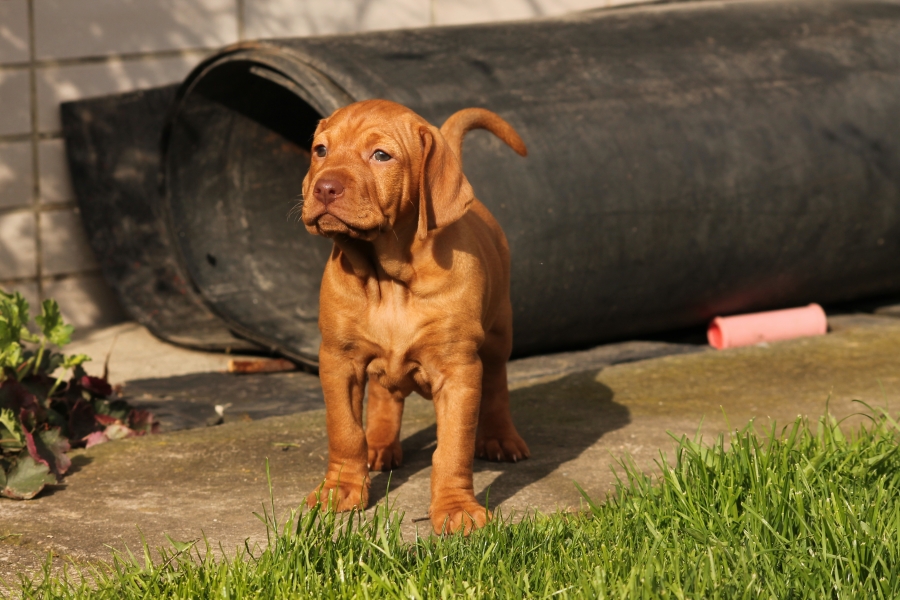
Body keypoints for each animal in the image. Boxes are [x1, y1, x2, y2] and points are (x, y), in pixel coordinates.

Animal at [300, 99, 529, 534]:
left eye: (381, 156)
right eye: (320, 150)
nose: (324, 187)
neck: (388, 279)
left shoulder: (458, 371)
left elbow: (453, 447)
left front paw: (456, 509)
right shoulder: (338, 359)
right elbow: (345, 430)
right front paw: (340, 489)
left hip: (498, 334)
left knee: (496, 386)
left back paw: (500, 438)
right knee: (385, 395)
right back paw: (380, 444)